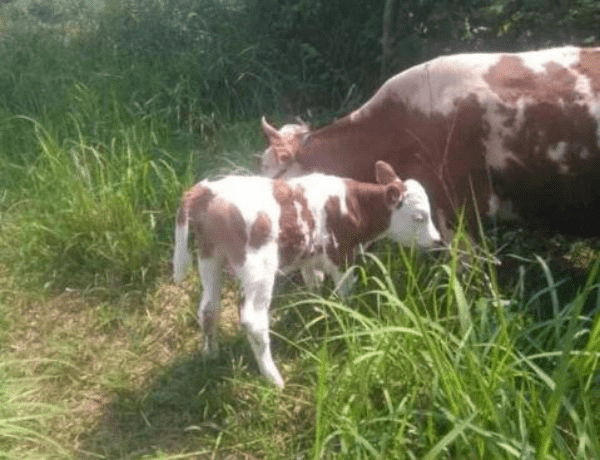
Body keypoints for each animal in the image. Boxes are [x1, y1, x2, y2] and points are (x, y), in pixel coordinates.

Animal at [173, 162, 440, 388]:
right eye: (419, 216)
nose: (437, 240)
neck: (352, 206)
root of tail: (208, 190)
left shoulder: (309, 258)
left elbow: (315, 284)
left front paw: (317, 310)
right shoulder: (341, 257)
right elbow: (345, 292)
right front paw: (348, 320)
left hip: (209, 256)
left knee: (208, 309)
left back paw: (210, 354)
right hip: (258, 268)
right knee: (253, 321)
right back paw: (273, 379)